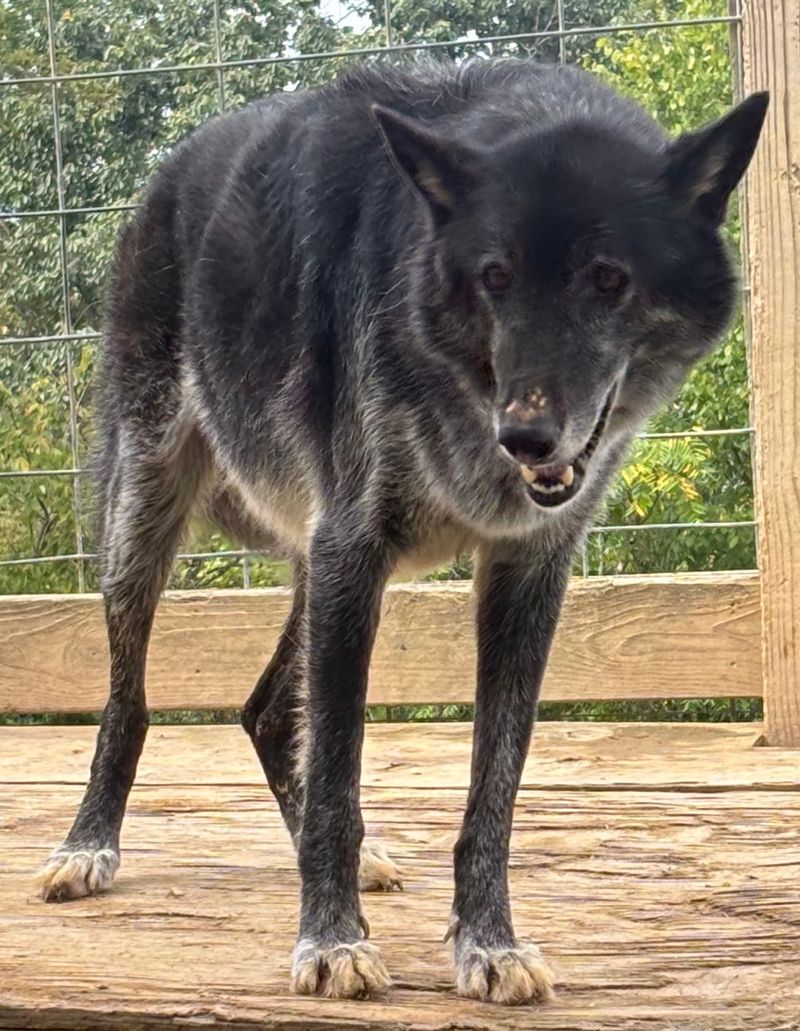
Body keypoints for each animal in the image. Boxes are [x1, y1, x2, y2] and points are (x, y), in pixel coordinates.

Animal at [36, 58, 767, 1006]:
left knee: (267, 709)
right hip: (144, 525)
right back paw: (88, 843)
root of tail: (171, 170)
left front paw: (487, 942)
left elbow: (493, 788)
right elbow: (340, 773)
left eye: (610, 279)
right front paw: (331, 938)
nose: (525, 437)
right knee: (130, 701)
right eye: (493, 276)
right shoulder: (355, 549)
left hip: (310, 567)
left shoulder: (519, 575)